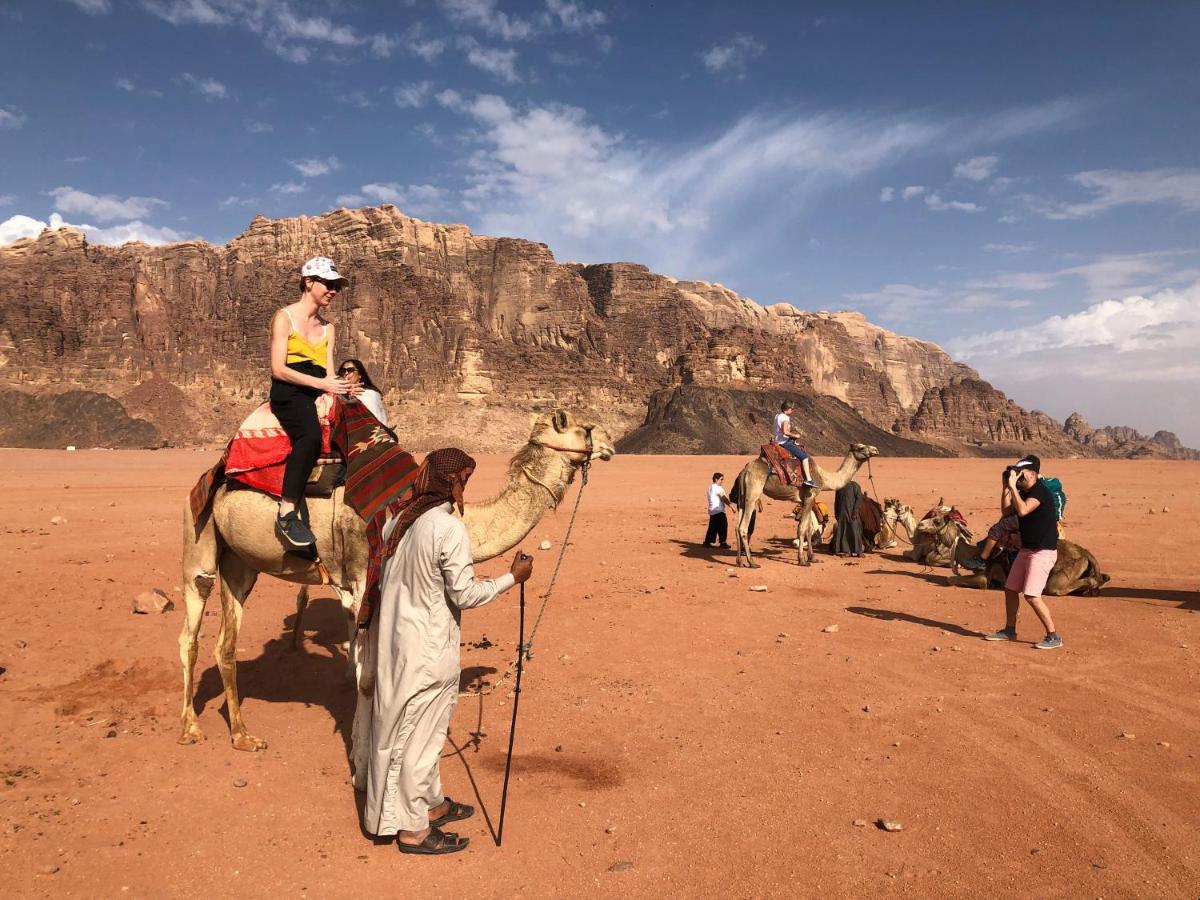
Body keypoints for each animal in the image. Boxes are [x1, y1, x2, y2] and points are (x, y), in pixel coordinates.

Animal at [175, 412, 619, 787]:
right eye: (582, 425)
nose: (611, 443)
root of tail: (213, 474)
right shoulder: (358, 584)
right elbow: (367, 681)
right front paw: (361, 766)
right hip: (198, 544)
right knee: (189, 633)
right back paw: (190, 728)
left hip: (240, 564)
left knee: (225, 643)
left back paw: (242, 735)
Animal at [724, 446, 878, 571]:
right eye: (861, 447)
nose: (875, 450)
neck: (823, 478)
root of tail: (745, 471)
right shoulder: (810, 496)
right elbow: (802, 529)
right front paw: (802, 560)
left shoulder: (806, 501)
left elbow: (809, 529)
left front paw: (812, 557)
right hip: (753, 491)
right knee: (743, 527)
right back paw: (752, 562)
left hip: (742, 498)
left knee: (737, 527)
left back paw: (739, 561)